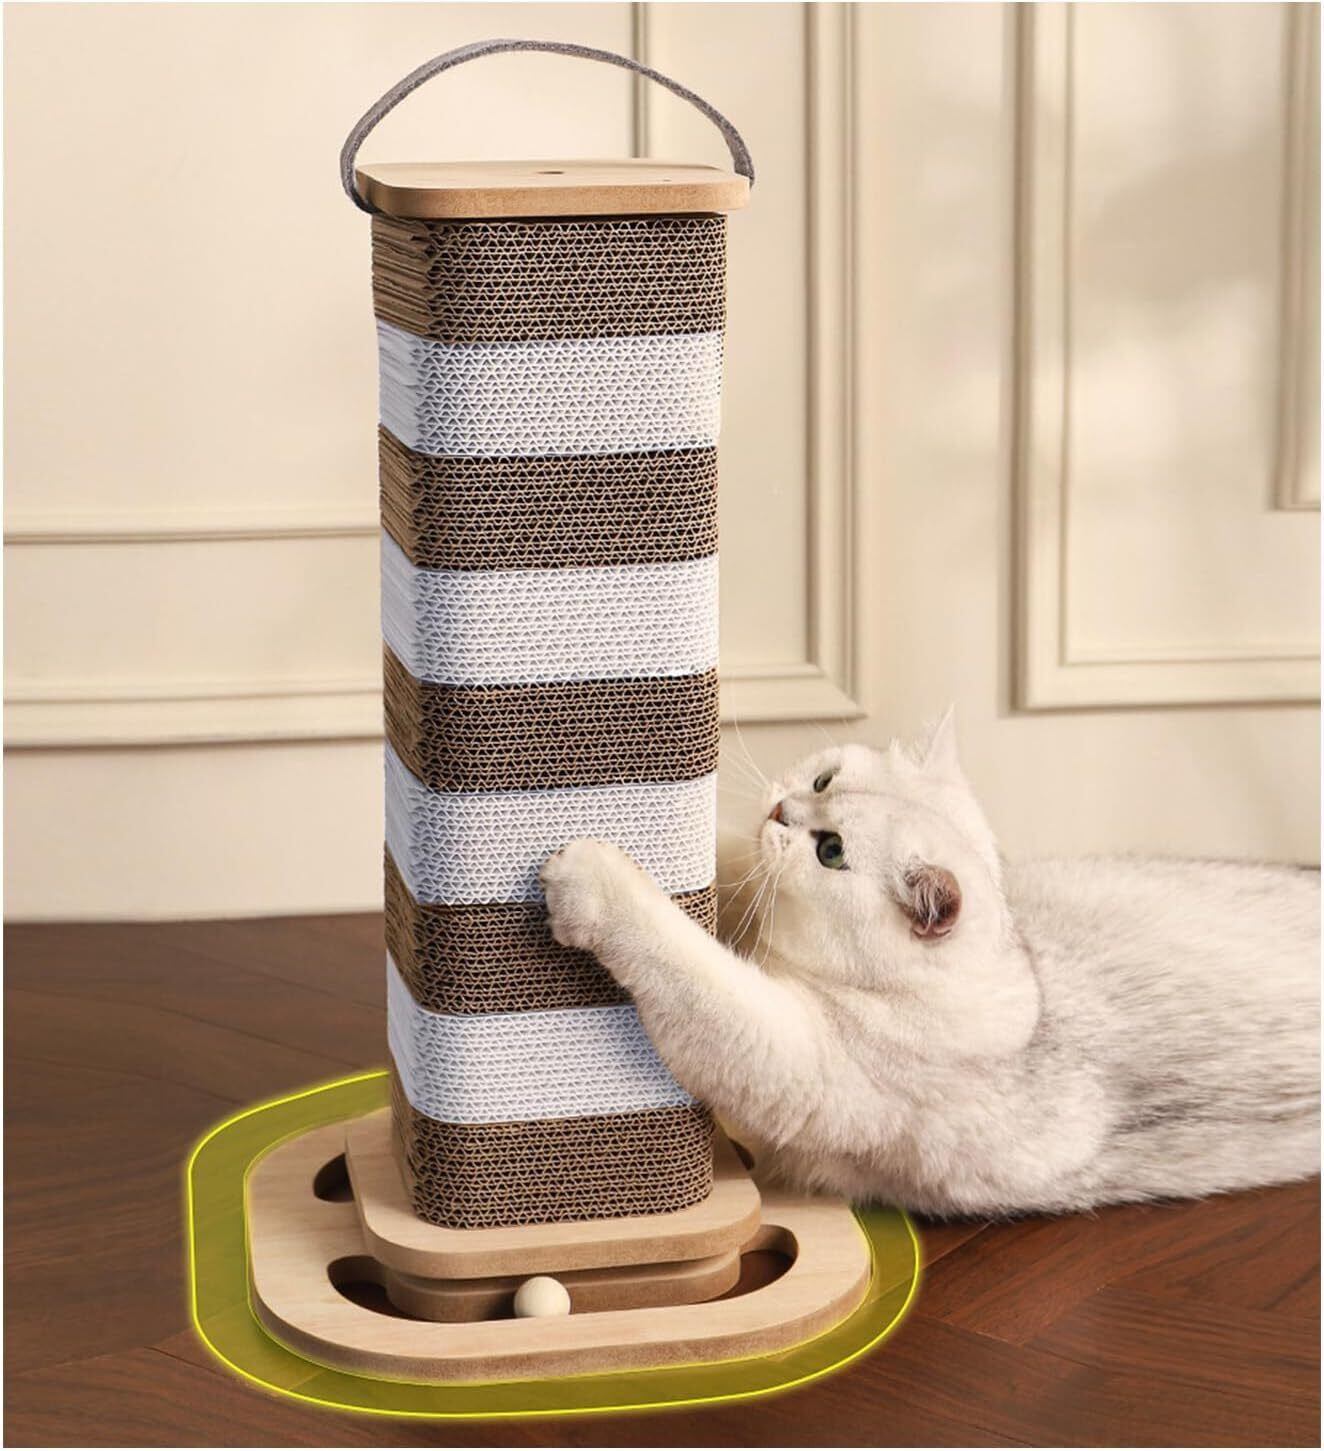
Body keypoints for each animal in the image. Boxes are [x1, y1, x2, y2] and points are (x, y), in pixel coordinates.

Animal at [539, 711, 1320, 1216]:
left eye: (831, 850)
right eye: (822, 778)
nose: (780, 811)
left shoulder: (787, 1053)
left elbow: (683, 959)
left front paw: (588, 877)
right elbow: (733, 866)